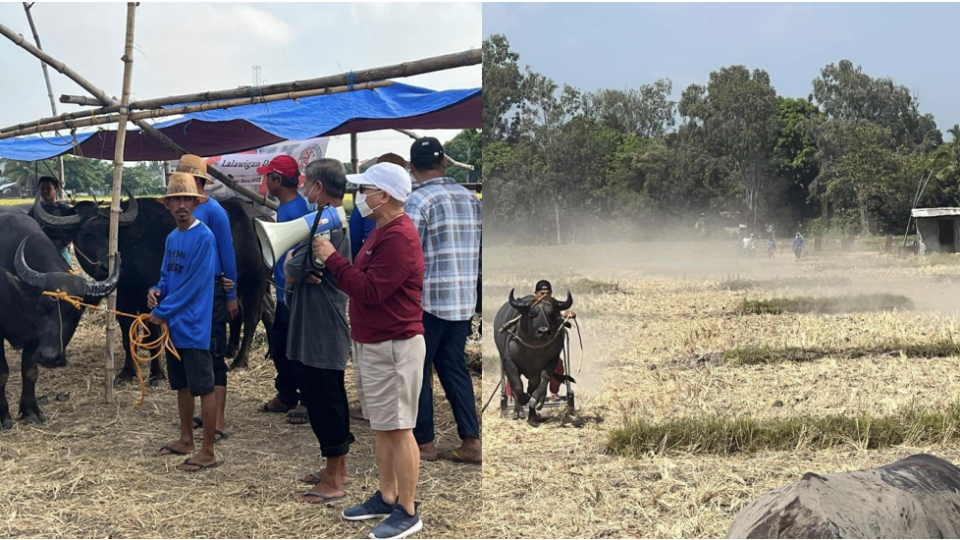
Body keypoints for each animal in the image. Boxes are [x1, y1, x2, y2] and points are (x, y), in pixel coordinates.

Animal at [0, 213, 119, 428]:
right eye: (41, 308)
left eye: (76, 312)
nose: (50, 357)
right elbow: (2, 373)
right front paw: (4, 416)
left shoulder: (35, 338)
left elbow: (30, 372)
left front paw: (30, 412)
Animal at [32, 194, 274, 384]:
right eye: (85, 234)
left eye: (109, 233)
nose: (105, 266)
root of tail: (262, 218)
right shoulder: (123, 302)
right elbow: (126, 336)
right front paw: (126, 372)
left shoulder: (151, 299)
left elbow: (152, 336)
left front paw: (157, 375)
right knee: (256, 312)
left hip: (256, 280)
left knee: (252, 316)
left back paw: (240, 360)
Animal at [496, 288, 568, 424]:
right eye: (532, 313)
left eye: (553, 314)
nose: (544, 331)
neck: (532, 349)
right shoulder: (509, 362)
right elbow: (517, 387)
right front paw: (523, 400)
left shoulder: (550, 361)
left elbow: (539, 383)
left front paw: (533, 406)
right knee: (513, 388)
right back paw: (517, 412)